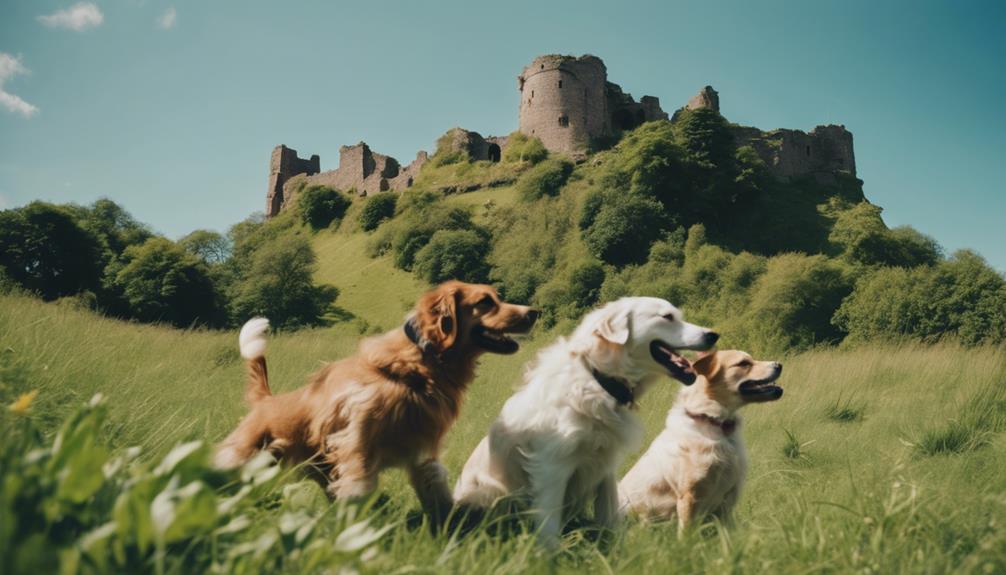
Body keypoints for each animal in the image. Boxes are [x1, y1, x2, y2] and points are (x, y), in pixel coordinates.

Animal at [215, 281, 539, 526]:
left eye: (497, 297)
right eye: (485, 302)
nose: (534, 311)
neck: (419, 366)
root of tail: (267, 401)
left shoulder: (424, 453)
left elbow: (437, 496)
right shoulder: (358, 445)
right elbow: (357, 494)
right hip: (245, 455)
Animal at [452, 299, 720, 546]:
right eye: (667, 317)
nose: (713, 335)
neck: (599, 381)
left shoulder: (606, 466)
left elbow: (609, 520)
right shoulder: (552, 468)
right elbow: (549, 527)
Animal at [615, 347, 780, 530]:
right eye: (743, 363)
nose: (779, 365)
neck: (715, 423)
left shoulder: (728, 498)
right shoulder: (689, 496)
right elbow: (687, 534)